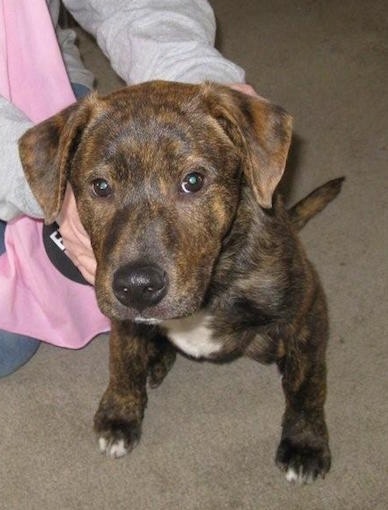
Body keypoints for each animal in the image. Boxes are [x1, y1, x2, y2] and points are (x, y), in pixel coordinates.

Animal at [18, 81, 342, 484]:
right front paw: (120, 415)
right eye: (100, 186)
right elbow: (122, 360)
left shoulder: (306, 313)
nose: (137, 286)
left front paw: (305, 444)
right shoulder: (121, 314)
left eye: (193, 181)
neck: (214, 283)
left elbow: (307, 383)